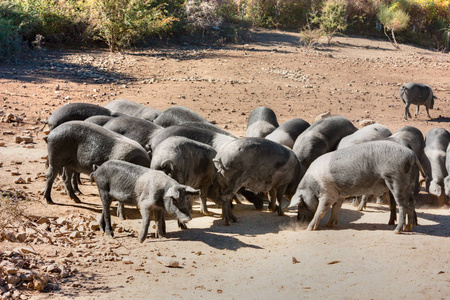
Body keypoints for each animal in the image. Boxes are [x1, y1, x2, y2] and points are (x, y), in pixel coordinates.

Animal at [288, 141, 426, 234]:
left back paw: (397, 230)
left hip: (395, 180)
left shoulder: (328, 194)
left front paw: (309, 229)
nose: (298, 221)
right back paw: (409, 228)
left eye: (301, 204)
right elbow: (336, 209)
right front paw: (330, 225)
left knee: (402, 205)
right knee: (411, 202)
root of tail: (412, 155)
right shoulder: (339, 194)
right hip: (409, 182)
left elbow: (321, 211)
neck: (313, 184)